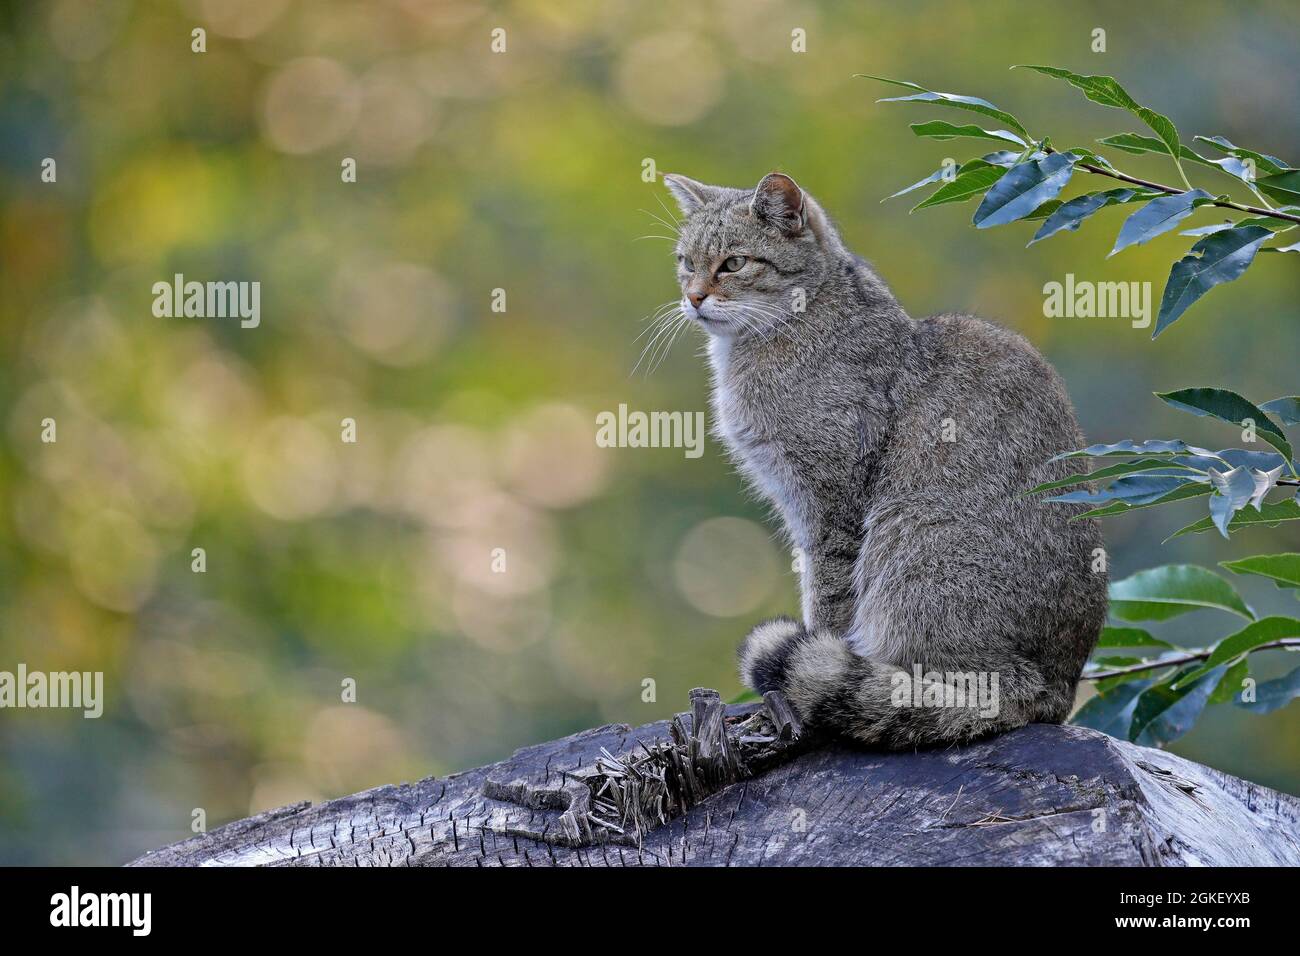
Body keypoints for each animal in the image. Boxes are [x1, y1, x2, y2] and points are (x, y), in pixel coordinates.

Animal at [670, 174, 1107, 754]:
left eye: (734, 264)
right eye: (685, 262)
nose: (693, 297)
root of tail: (1054, 689)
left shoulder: (831, 506)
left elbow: (827, 604)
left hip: (909, 535)